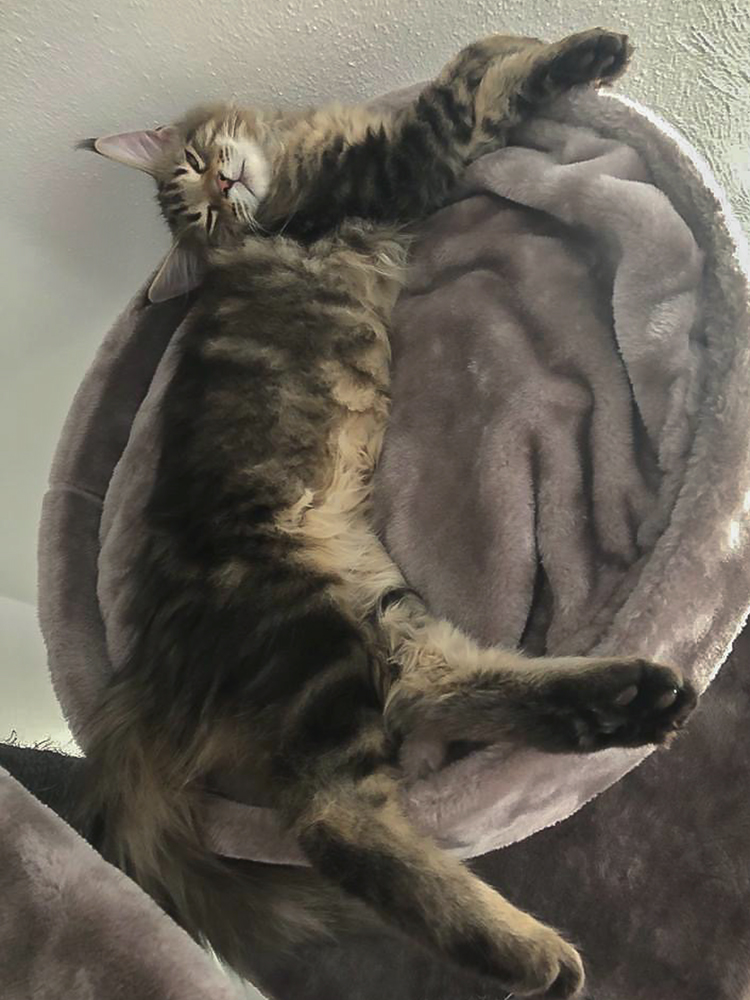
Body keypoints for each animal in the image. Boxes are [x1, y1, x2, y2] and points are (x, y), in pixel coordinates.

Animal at [80, 28, 697, 999]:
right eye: (199, 207)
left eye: (194, 177)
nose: (223, 187)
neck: (285, 158)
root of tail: (145, 662)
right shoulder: (406, 162)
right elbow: (474, 83)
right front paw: (578, 50)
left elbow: (480, 72)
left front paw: (527, 44)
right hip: (315, 654)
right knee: (336, 824)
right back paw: (534, 953)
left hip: (382, 613)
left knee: (448, 689)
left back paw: (630, 703)